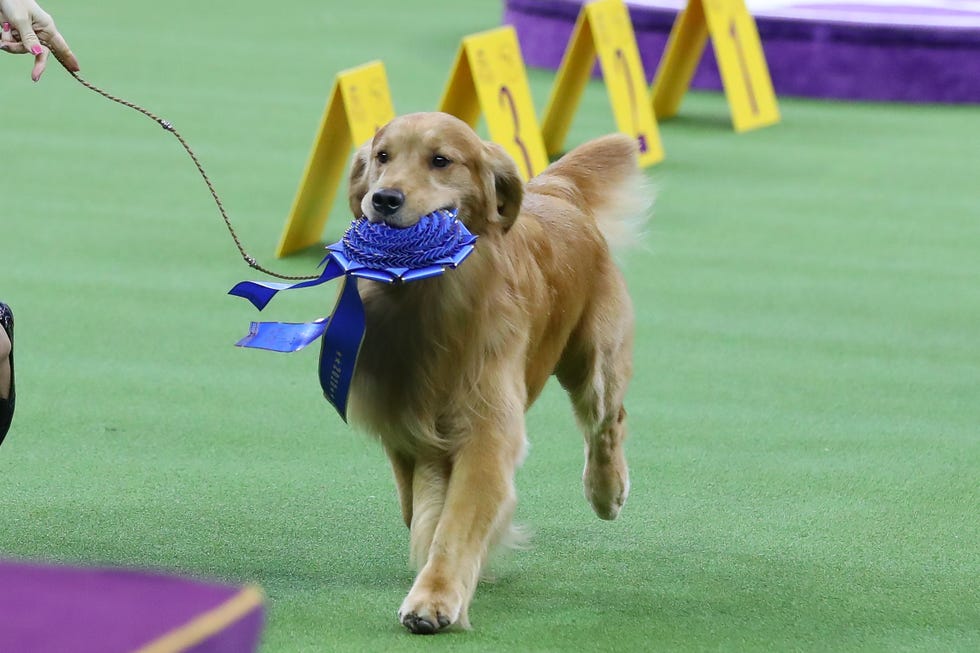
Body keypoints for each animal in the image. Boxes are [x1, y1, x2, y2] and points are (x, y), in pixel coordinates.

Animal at [342, 112, 644, 632]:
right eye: (382, 157)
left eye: (440, 160)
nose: (384, 199)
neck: (430, 299)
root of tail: (556, 190)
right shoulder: (407, 427)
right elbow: (422, 510)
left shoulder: (485, 428)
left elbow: (456, 522)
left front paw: (435, 597)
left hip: (594, 363)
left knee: (607, 421)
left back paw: (606, 491)